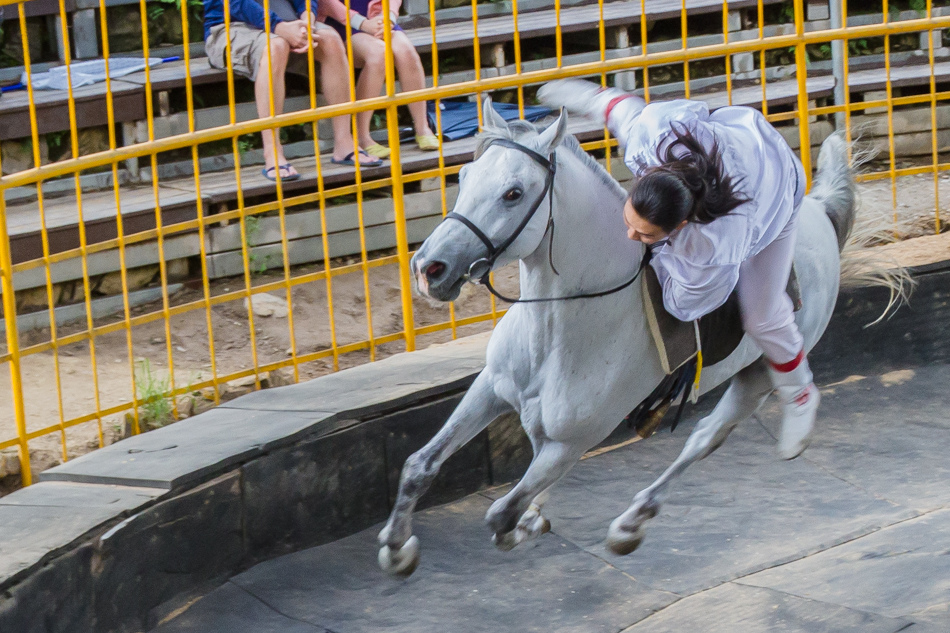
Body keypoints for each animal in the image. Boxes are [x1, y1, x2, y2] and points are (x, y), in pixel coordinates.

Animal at [380, 97, 876, 572]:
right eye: (464, 176)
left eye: (513, 193)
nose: (428, 268)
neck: (562, 328)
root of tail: (819, 211)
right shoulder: (492, 389)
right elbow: (418, 466)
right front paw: (397, 548)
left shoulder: (574, 442)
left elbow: (501, 514)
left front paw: (522, 525)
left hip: (758, 374)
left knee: (705, 437)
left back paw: (633, 522)